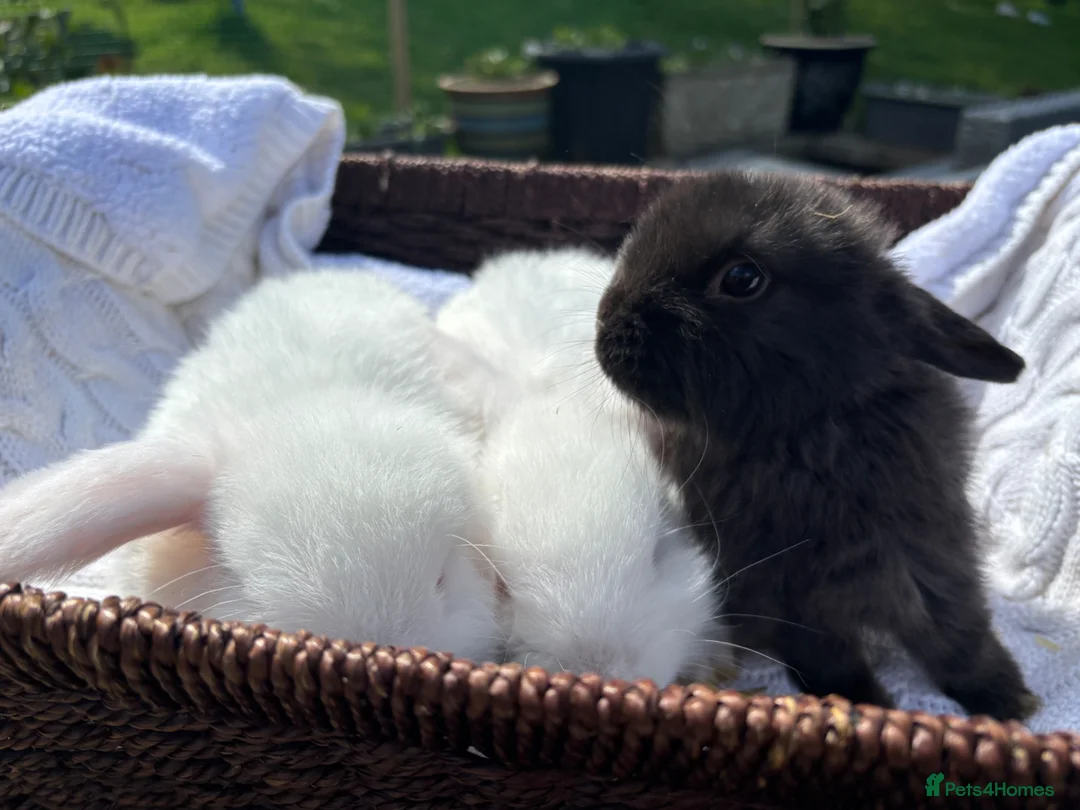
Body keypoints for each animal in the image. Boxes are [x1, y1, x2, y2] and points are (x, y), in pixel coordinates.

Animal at [593, 170, 1039, 720]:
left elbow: (956, 631)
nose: (607, 330)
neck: (805, 432)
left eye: (741, 279)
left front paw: (1010, 701)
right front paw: (865, 707)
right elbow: (829, 654)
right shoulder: (790, 591)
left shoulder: (932, 555)